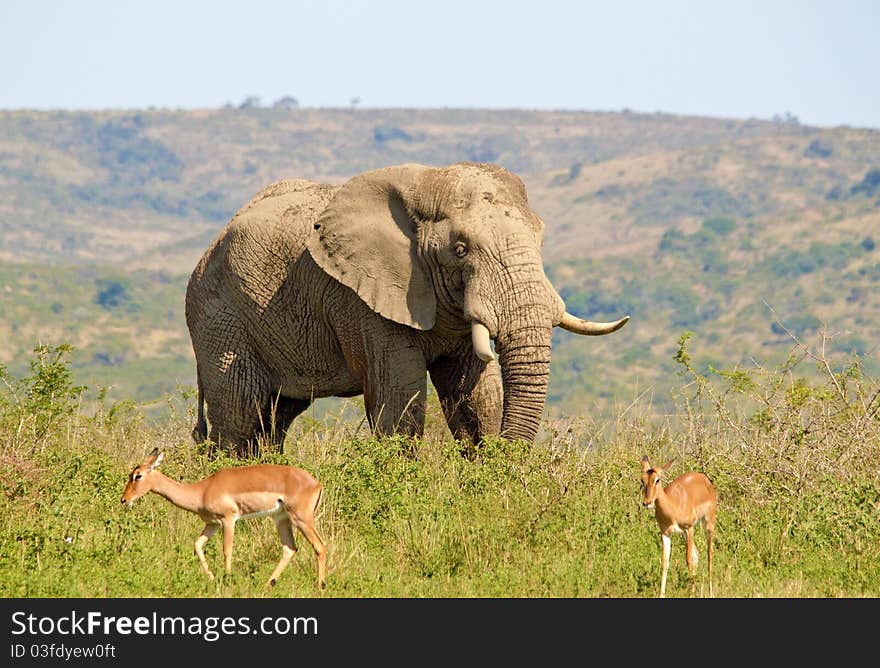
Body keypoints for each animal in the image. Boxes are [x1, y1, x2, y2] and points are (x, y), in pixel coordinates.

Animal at [184, 159, 624, 456]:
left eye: (541, 239)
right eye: (460, 249)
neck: (426, 185)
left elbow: (477, 399)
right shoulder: (360, 299)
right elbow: (399, 404)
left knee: (274, 418)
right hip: (219, 317)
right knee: (238, 418)